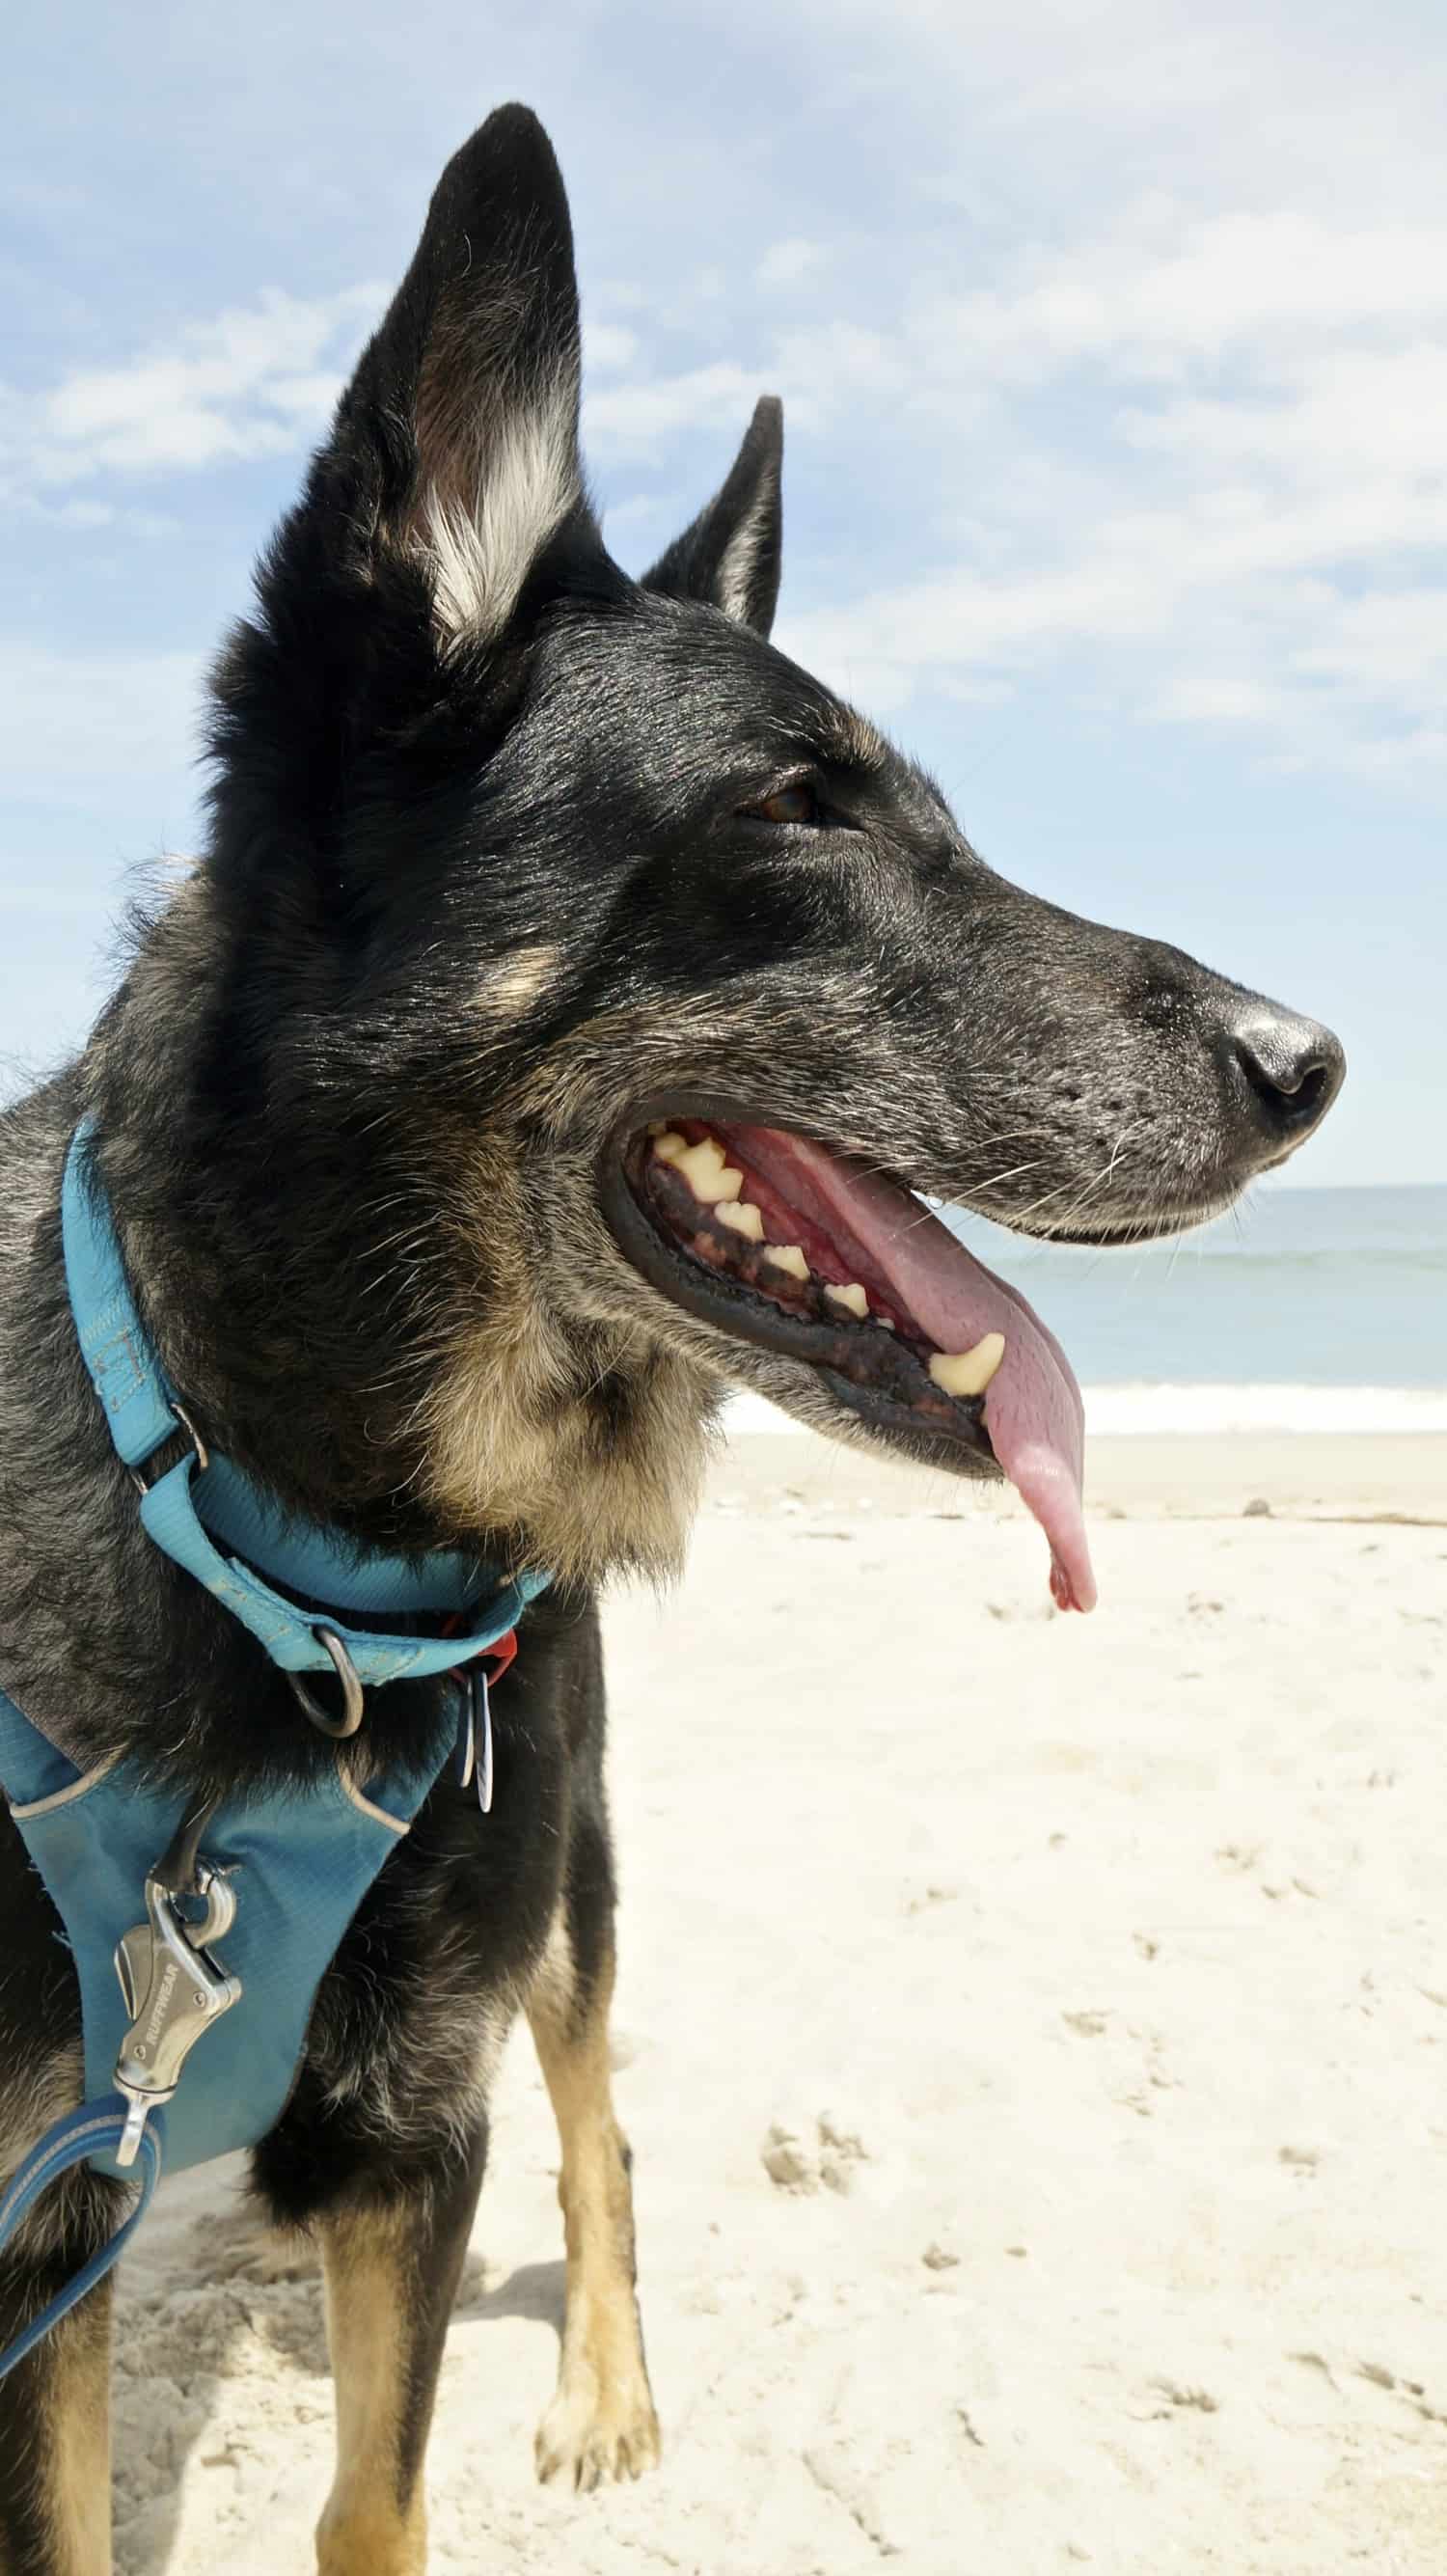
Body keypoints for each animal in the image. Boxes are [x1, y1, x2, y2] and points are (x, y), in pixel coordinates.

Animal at [0, 100, 1338, 2576]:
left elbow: (377, 2500)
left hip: (572, 1897)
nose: (1317, 1066)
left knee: (605, 2119)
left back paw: (609, 2393)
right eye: (800, 809)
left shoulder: (415, 2135)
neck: (278, 1545)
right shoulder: (46, 2208)